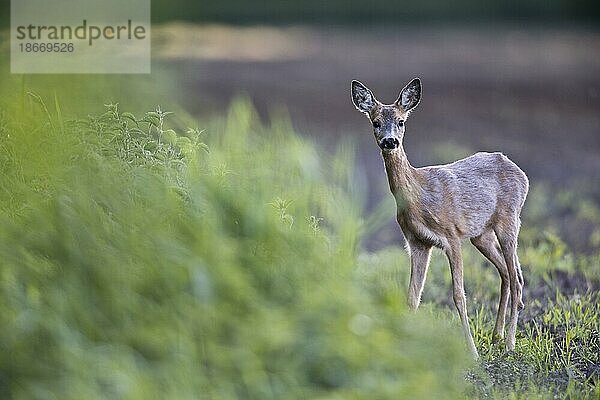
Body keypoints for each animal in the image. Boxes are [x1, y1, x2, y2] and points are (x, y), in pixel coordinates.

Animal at [352, 78, 528, 356]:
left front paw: (472, 353)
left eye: (401, 121)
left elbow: (458, 295)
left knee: (517, 278)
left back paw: (509, 343)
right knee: (506, 274)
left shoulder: (452, 235)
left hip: (509, 220)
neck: (419, 197)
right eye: (375, 122)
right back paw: (496, 336)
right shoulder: (417, 243)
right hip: (481, 235)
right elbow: (413, 297)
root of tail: (521, 173)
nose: (390, 141)